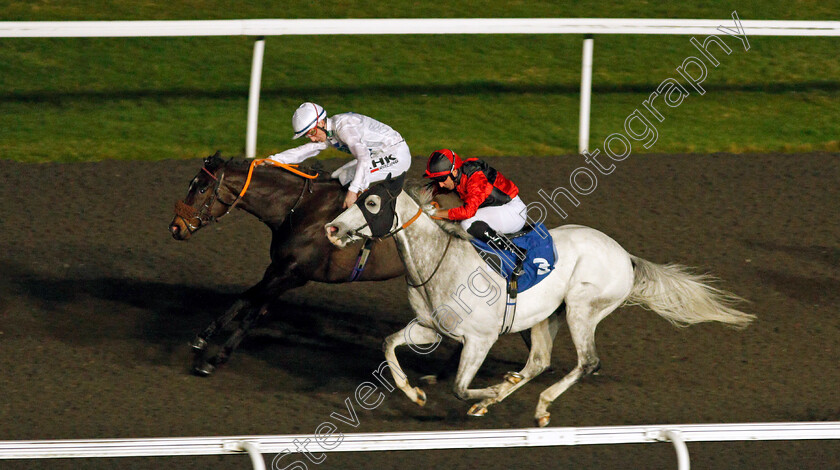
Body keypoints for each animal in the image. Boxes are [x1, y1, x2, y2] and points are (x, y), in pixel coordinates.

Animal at [169, 152, 406, 376]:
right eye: (191, 184)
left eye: (202, 189)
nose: (175, 227)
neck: (301, 210)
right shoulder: (281, 270)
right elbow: (249, 304)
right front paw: (208, 344)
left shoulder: (291, 273)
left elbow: (250, 307)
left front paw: (210, 353)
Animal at [324, 184, 756, 426]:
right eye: (357, 197)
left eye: (373, 204)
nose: (332, 228)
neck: (440, 263)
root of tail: (626, 256)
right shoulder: (430, 327)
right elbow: (388, 345)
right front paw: (415, 393)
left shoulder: (479, 339)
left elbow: (462, 389)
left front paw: (488, 391)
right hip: (548, 316)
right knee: (539, 361)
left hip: (582, 307)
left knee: (587, 362)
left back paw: (538, 404)